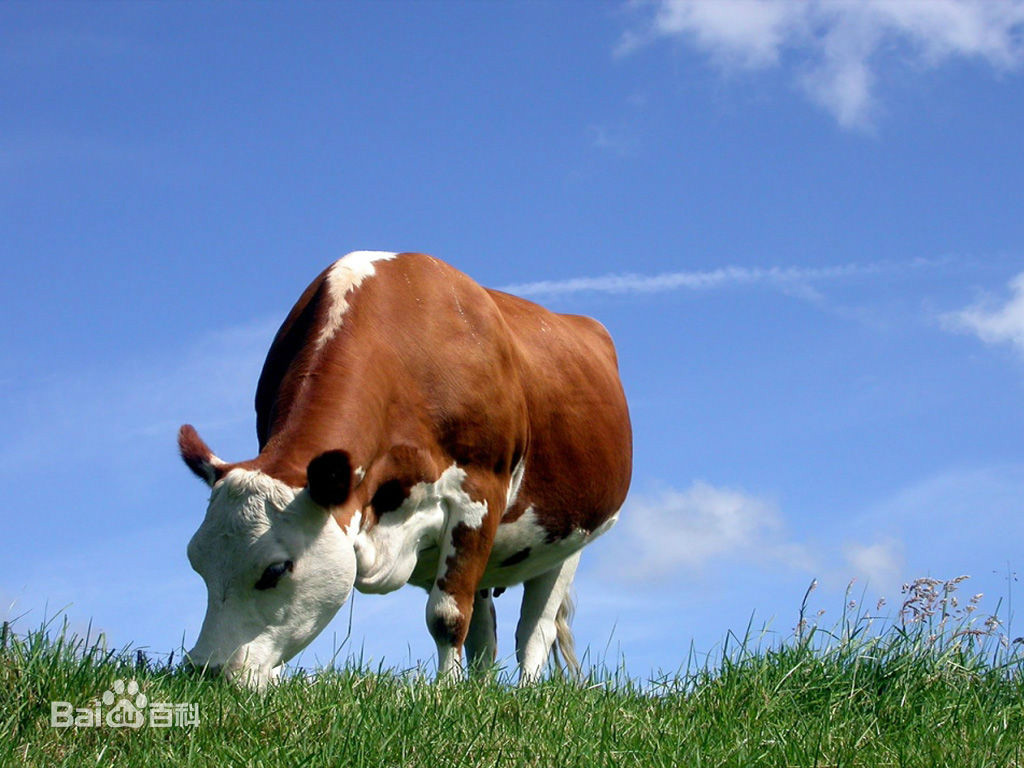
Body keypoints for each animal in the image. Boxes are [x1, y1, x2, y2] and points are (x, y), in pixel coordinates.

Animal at [182, 250, 630, 684]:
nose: (207, 671)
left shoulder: (478, 495)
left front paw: (445, 692)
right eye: (196, 561)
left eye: (275, 569)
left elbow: (448, 616)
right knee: (486, 632)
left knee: (534, 630)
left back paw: (524, 689)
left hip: (570, 538)